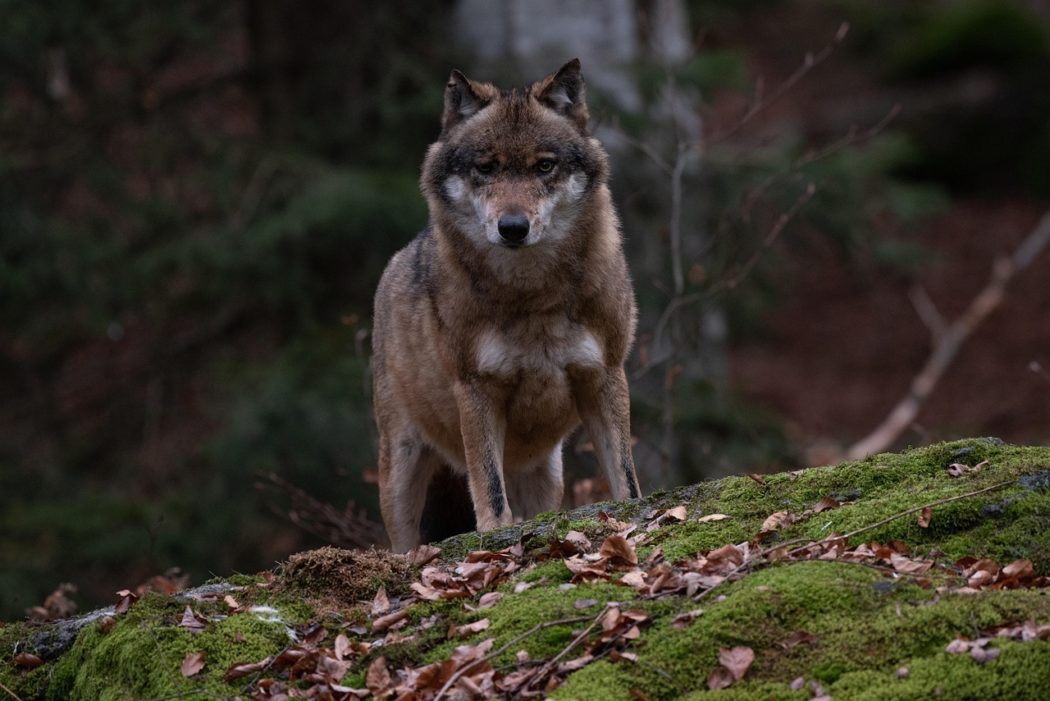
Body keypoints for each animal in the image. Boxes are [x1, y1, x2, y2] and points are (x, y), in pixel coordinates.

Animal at [372, 59, 641, 552]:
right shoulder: (476, 389)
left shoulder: (605, 375)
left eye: (544, 166)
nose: (513, 227)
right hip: (400, 471)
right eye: (486, 167)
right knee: (403, 542)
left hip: (546, 476)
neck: (533, 297)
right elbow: (490, 492)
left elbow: (626, 481)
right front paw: (496, 537)